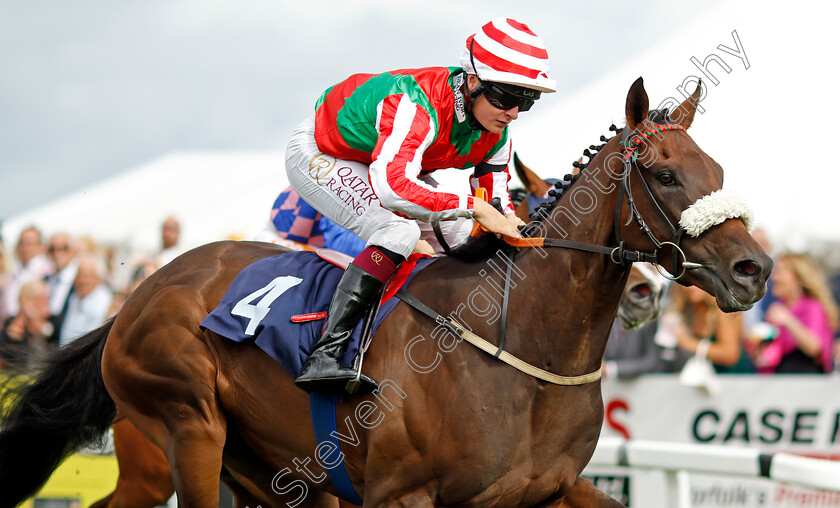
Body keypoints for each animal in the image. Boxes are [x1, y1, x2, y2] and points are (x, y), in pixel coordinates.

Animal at [0, 77, 772, 506]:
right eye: (666, 175)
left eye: (718, 169)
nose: (754, 270)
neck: (519, 348)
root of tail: (138, 294)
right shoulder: (403, 495)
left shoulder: (543, 490)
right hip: (186, 428)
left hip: (271, 471)